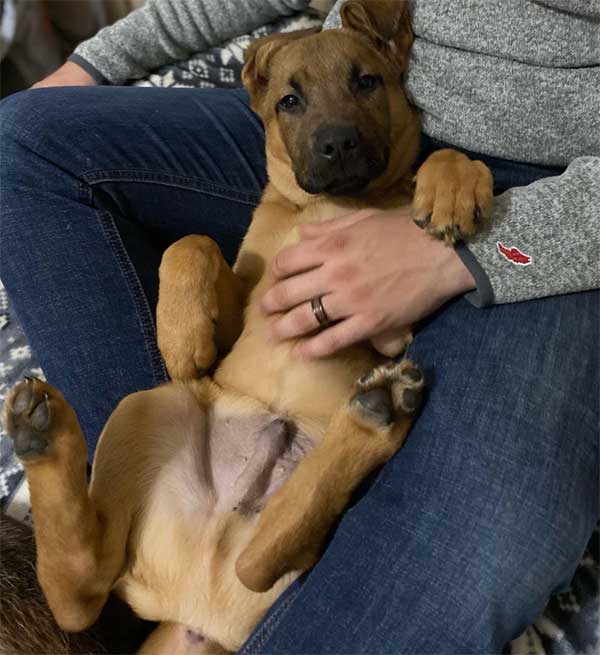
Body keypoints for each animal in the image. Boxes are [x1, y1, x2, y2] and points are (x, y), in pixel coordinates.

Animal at [1, 2, 492, 652]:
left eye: (367, 82)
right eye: (290, 101)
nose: (338, 144)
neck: (334, 205)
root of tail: (197, 610)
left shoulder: (391, 328)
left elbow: (440, 158)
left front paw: (454, 186)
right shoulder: (252, 293)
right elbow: (193, 244)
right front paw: (183, 337)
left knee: (249, 562)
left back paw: (376, 416)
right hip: (152, 403)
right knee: (89, 590)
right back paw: (44, 433)